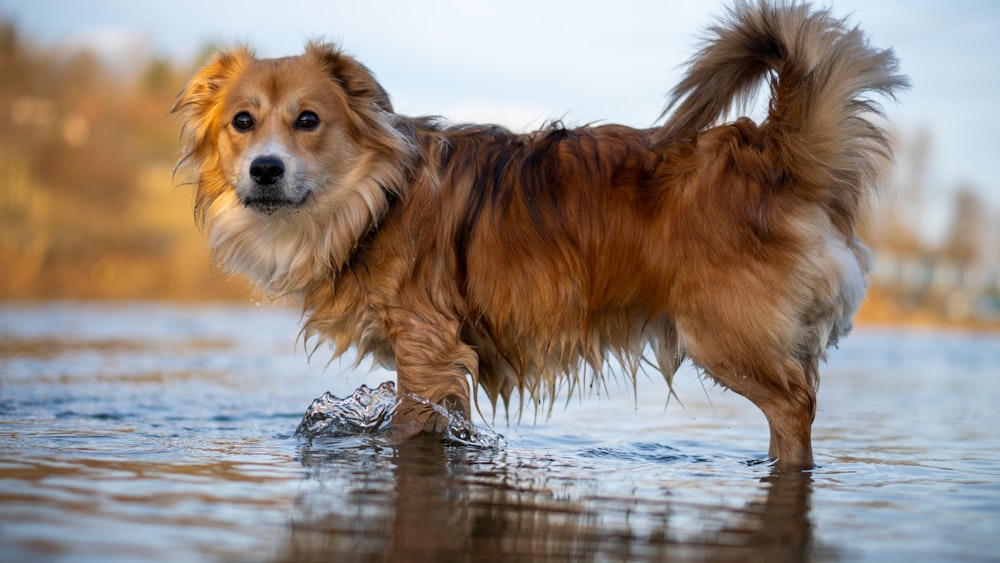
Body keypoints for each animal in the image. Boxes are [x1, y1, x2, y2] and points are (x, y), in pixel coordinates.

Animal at [172, 1, 908, 468]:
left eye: (308, 120)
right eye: (242, 122)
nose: (266, 169)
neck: (373, 198)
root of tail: (773, 150)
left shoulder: (426, 348)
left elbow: (410, 429)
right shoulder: (447, 360)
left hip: (725, 335)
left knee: (797, 405)